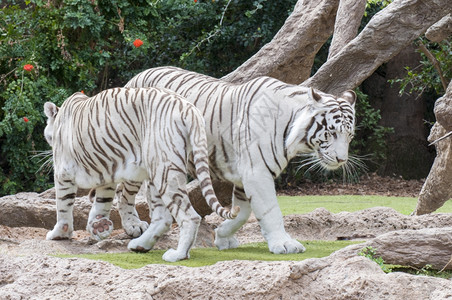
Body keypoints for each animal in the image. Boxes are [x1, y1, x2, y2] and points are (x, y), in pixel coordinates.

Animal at [44, 87, 238, 262]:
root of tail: (189, 108)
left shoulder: (63, 172)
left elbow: (63, 205)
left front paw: (59, 233)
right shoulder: (107, 173)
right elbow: (102, 202)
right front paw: (99, 225)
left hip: (165, 171)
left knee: (189, 217)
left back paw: (178, 255)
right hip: (156, 175)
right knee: (163, 218)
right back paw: (140, 245)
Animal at [124, 67, 356, 254]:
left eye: (350, 135)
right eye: (332, 133)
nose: (341, 159)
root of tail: (137, 76)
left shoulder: (246, 177)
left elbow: (242, 214)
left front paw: (222, 237)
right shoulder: (257, 173)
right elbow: (270, 211)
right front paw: (284, 244)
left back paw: (142, 241)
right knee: (124, 195)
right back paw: (133, 227)